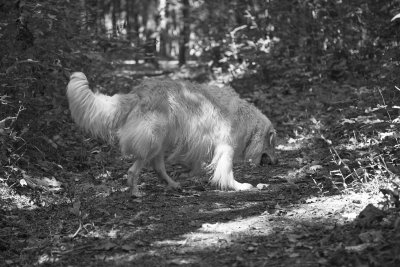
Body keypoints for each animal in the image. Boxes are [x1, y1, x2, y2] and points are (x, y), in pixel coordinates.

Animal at [67, 72, 276, 198]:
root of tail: (138, 92)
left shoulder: (199, 142)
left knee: (158, 167)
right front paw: (239, 186)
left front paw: (190, 174)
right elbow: (226, 172)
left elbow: (197, 165)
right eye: (272, 145)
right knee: (134, 170)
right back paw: (135, 193)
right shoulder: (226, 148)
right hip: (153, 139)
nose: (276, 163)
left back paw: (173, 184)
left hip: (161, 141)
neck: (249, 122)